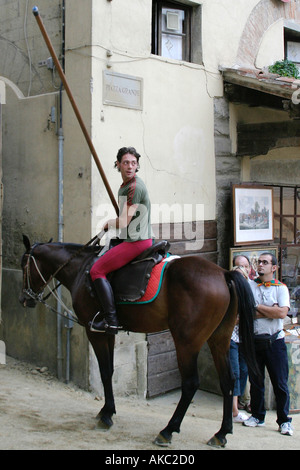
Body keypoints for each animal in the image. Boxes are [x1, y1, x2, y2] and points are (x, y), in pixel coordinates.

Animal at [19, 235, 258, 448]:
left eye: (23, 266)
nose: (24, 299)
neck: (81, 268)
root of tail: (224, 273)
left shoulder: (94, 331)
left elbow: (104, 371)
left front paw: (106, 416)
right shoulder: (109, 333)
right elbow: (110, 371)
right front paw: (107, 410)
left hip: (187, 342)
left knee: (191, 383)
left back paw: (167, 431)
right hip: (220, 339)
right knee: (228, 381)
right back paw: (221, 433)